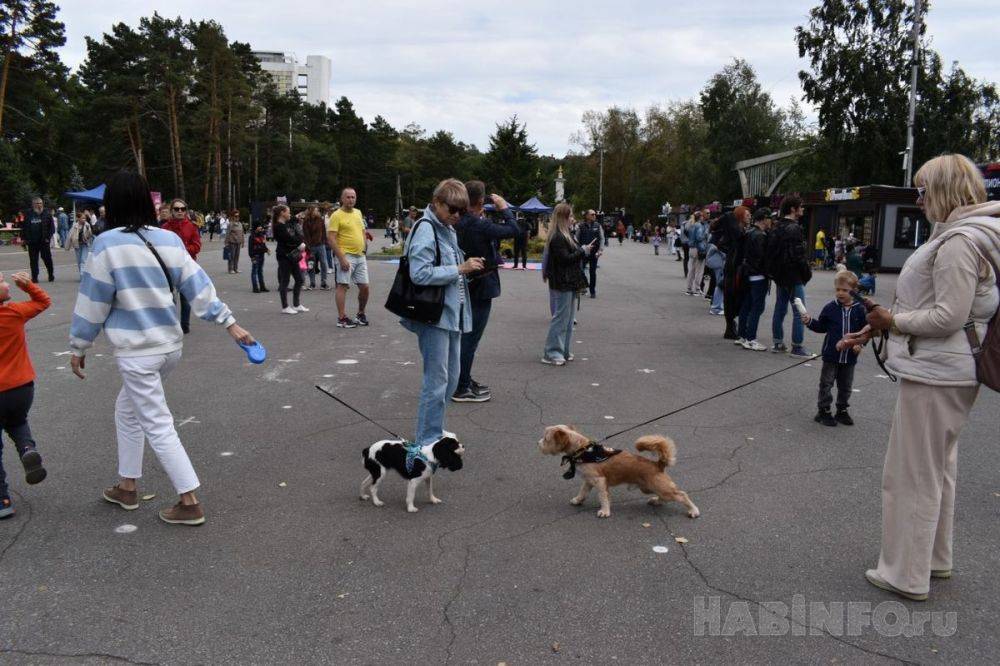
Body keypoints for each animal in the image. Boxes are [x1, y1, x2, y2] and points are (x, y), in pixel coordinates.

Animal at [536, 426, 700, 520]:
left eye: (546, 438)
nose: (538, 443)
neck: (584, 451)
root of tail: (658, 464)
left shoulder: (600, 481)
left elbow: (603, 497)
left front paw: (605, 511)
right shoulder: (588, 480)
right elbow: (582, 492)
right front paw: (578, 500)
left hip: (661, 488)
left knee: (682, 495)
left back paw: (693, 510)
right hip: (649, 488)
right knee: (665, 497)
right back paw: (656, 501)